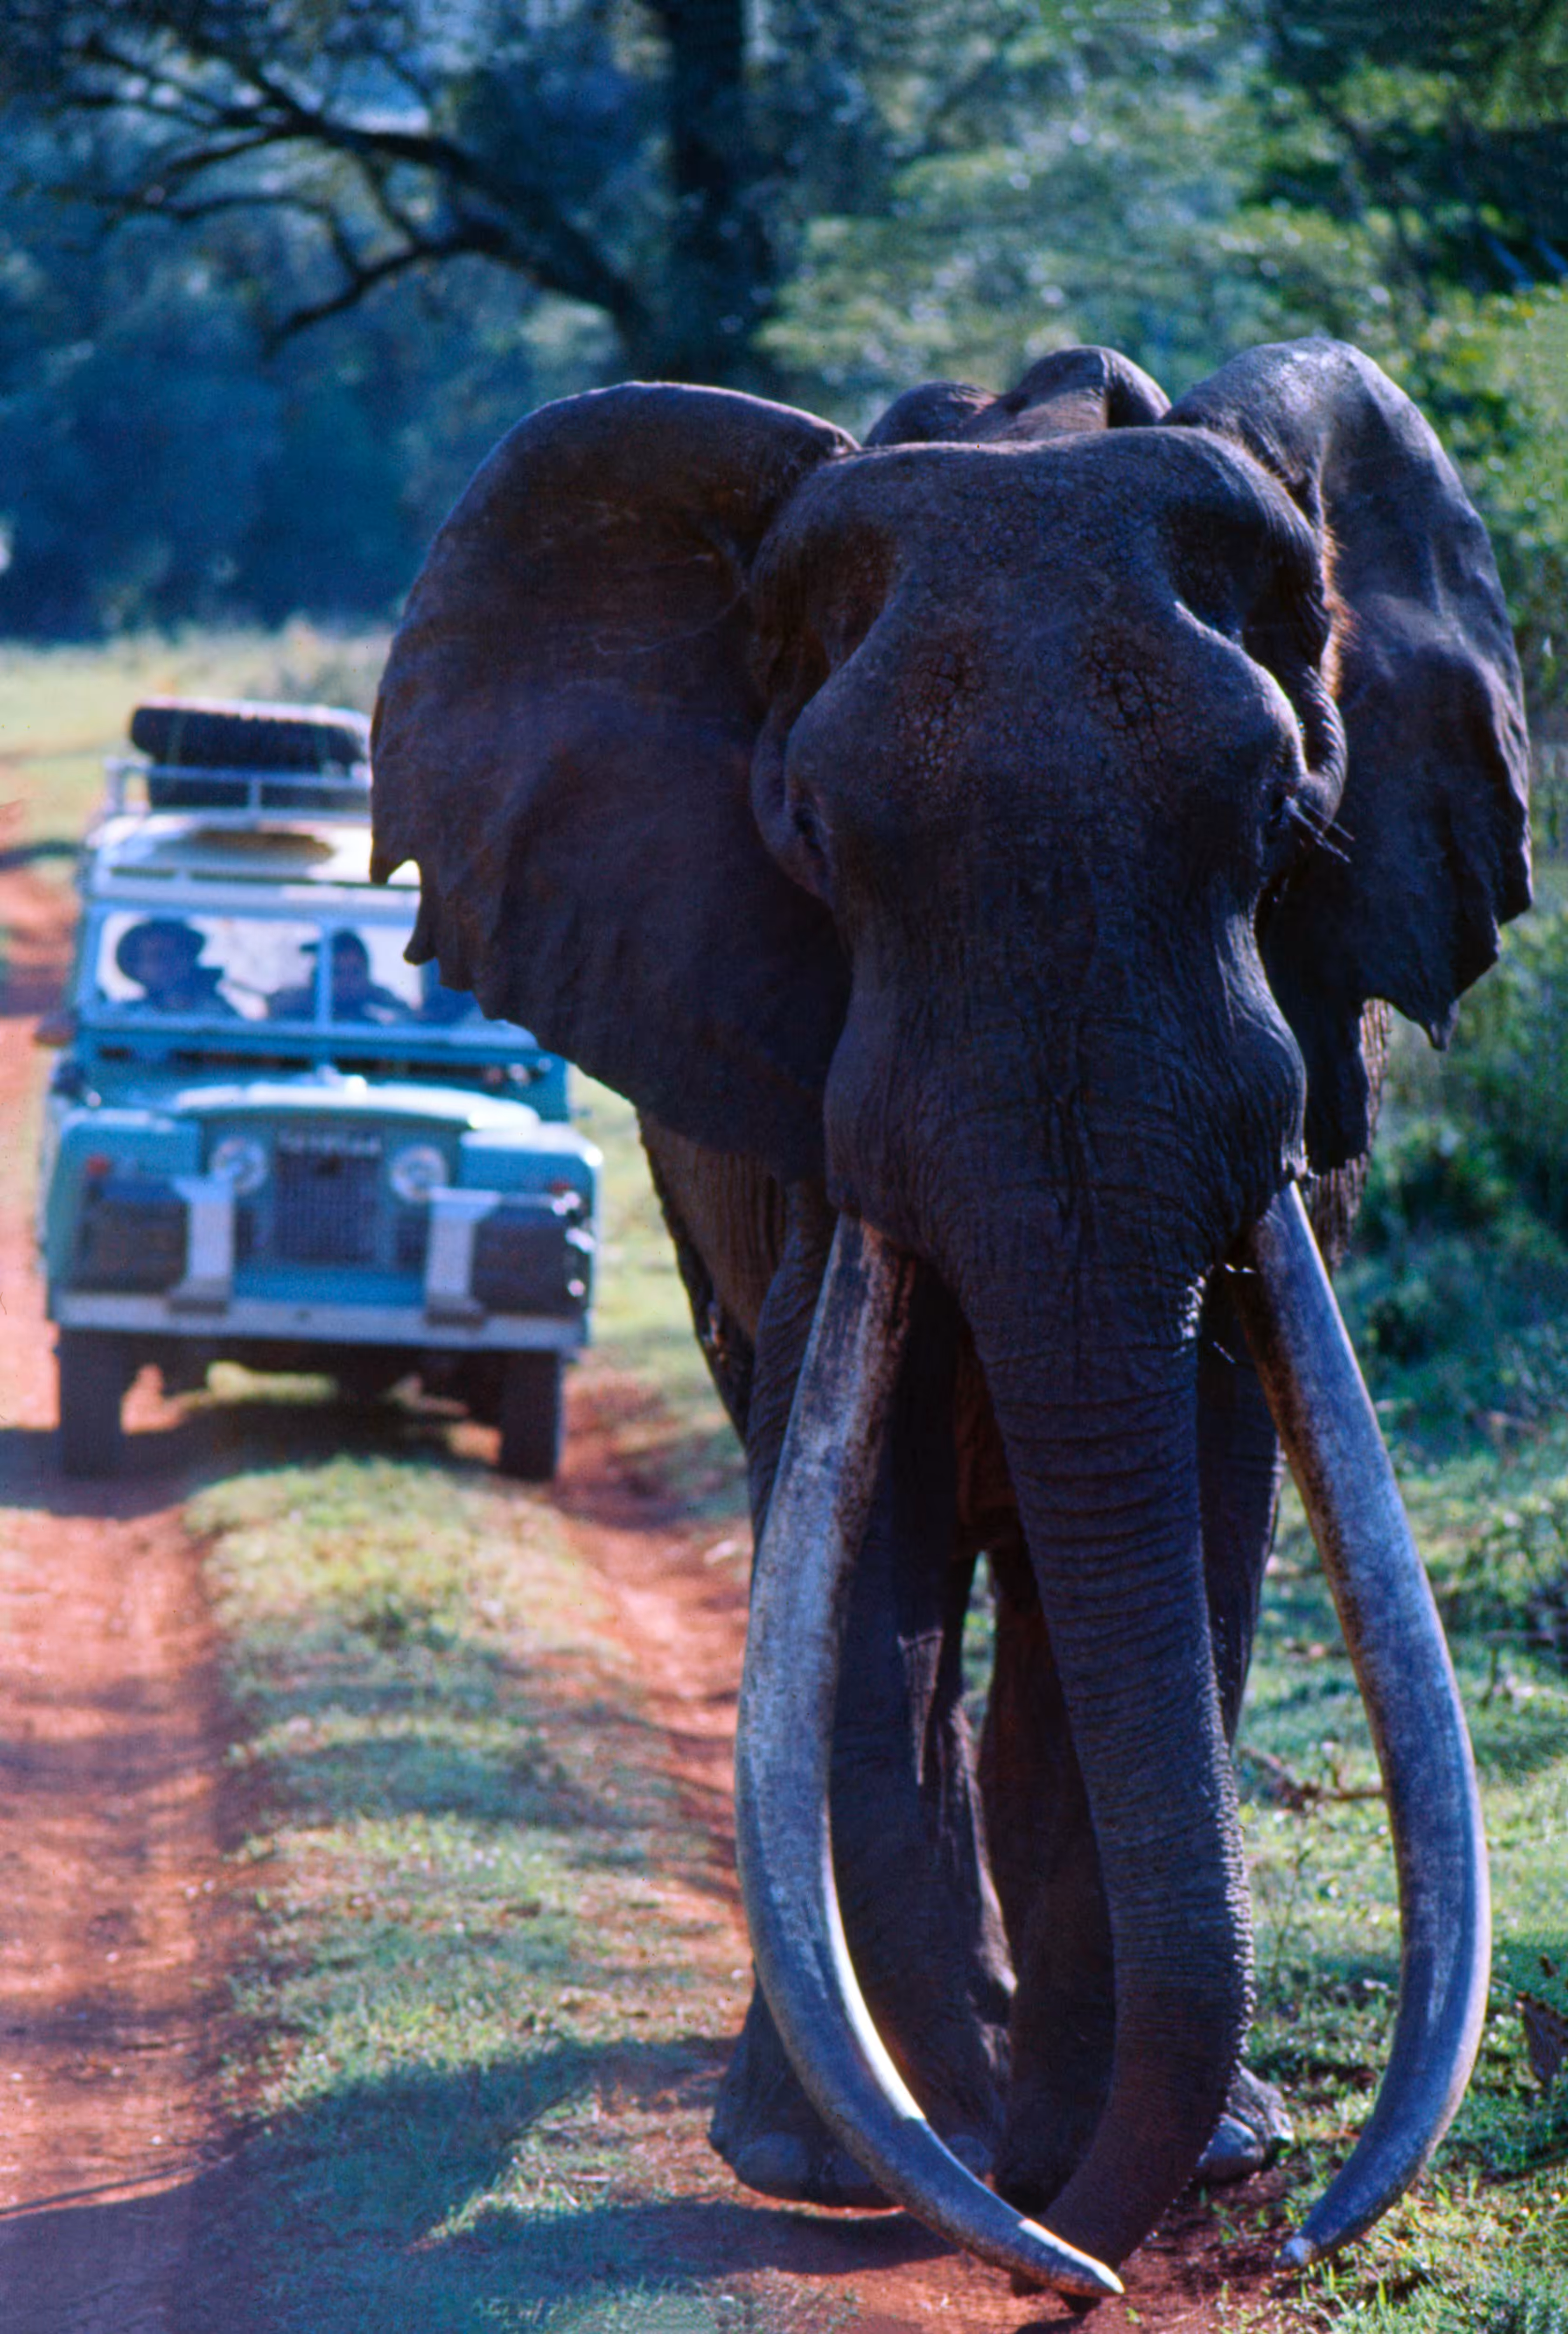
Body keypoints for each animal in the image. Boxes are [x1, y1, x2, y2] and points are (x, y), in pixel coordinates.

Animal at [368, 336, 1530, 2298]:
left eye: (1286, 823)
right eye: (817, 839)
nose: (1086, 2271)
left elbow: (1207, 1469)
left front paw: (1163, 2155)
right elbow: (874, 1515)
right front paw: (879, 2173)